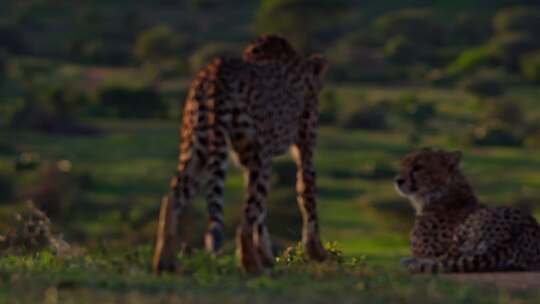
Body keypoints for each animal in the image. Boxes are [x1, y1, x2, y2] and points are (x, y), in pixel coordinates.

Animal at [153, 34, 330, 274]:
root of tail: (216, 71)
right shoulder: (301, 150)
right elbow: (307, 195)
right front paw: (316, 251)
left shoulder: (249, 161)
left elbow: (262, 216)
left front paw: (267, 256)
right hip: (256, 154)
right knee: (246, 215)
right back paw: (251, 266)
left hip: (197, 149)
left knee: (172, 198)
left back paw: (164, 262)